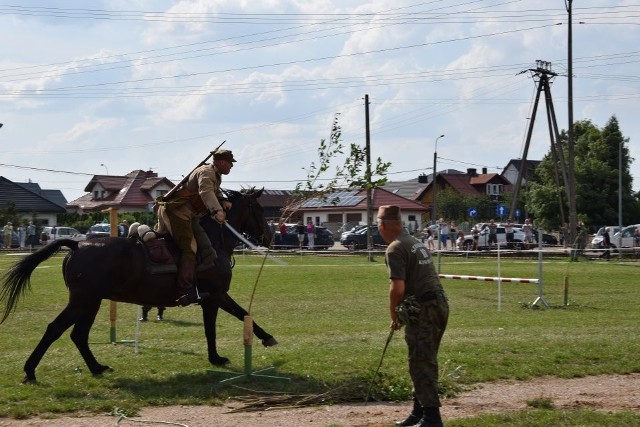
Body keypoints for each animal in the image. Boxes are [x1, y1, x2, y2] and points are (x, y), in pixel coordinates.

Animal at [0, 189, 276, 382]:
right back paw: (31, 371)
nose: (270, 236)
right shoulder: (218, 295)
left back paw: (96, 367)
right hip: (83, 300)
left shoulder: (209, 300)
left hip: (91, 302)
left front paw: (216, 358)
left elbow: (211, 330)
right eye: (259, 209)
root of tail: (77, 245)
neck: (213, 241)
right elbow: (243, 314)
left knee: (78, 334)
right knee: (56, 329)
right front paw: (267, 338)